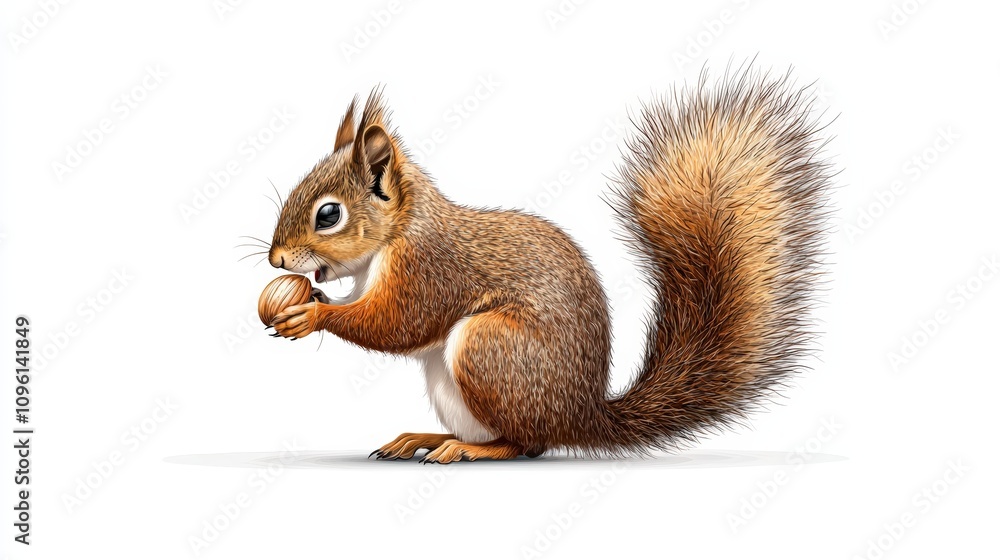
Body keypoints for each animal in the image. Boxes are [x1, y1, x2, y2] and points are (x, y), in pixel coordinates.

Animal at [266, 66, 833, 463]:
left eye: (329, 214)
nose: (275, 259)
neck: (398, 233)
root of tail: (580, 417)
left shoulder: (429, 268)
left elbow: (398, 324)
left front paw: (311, 314)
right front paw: (312, 299)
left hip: (490, 348)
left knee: (527, 444)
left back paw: (467, 449)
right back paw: (423, 437)